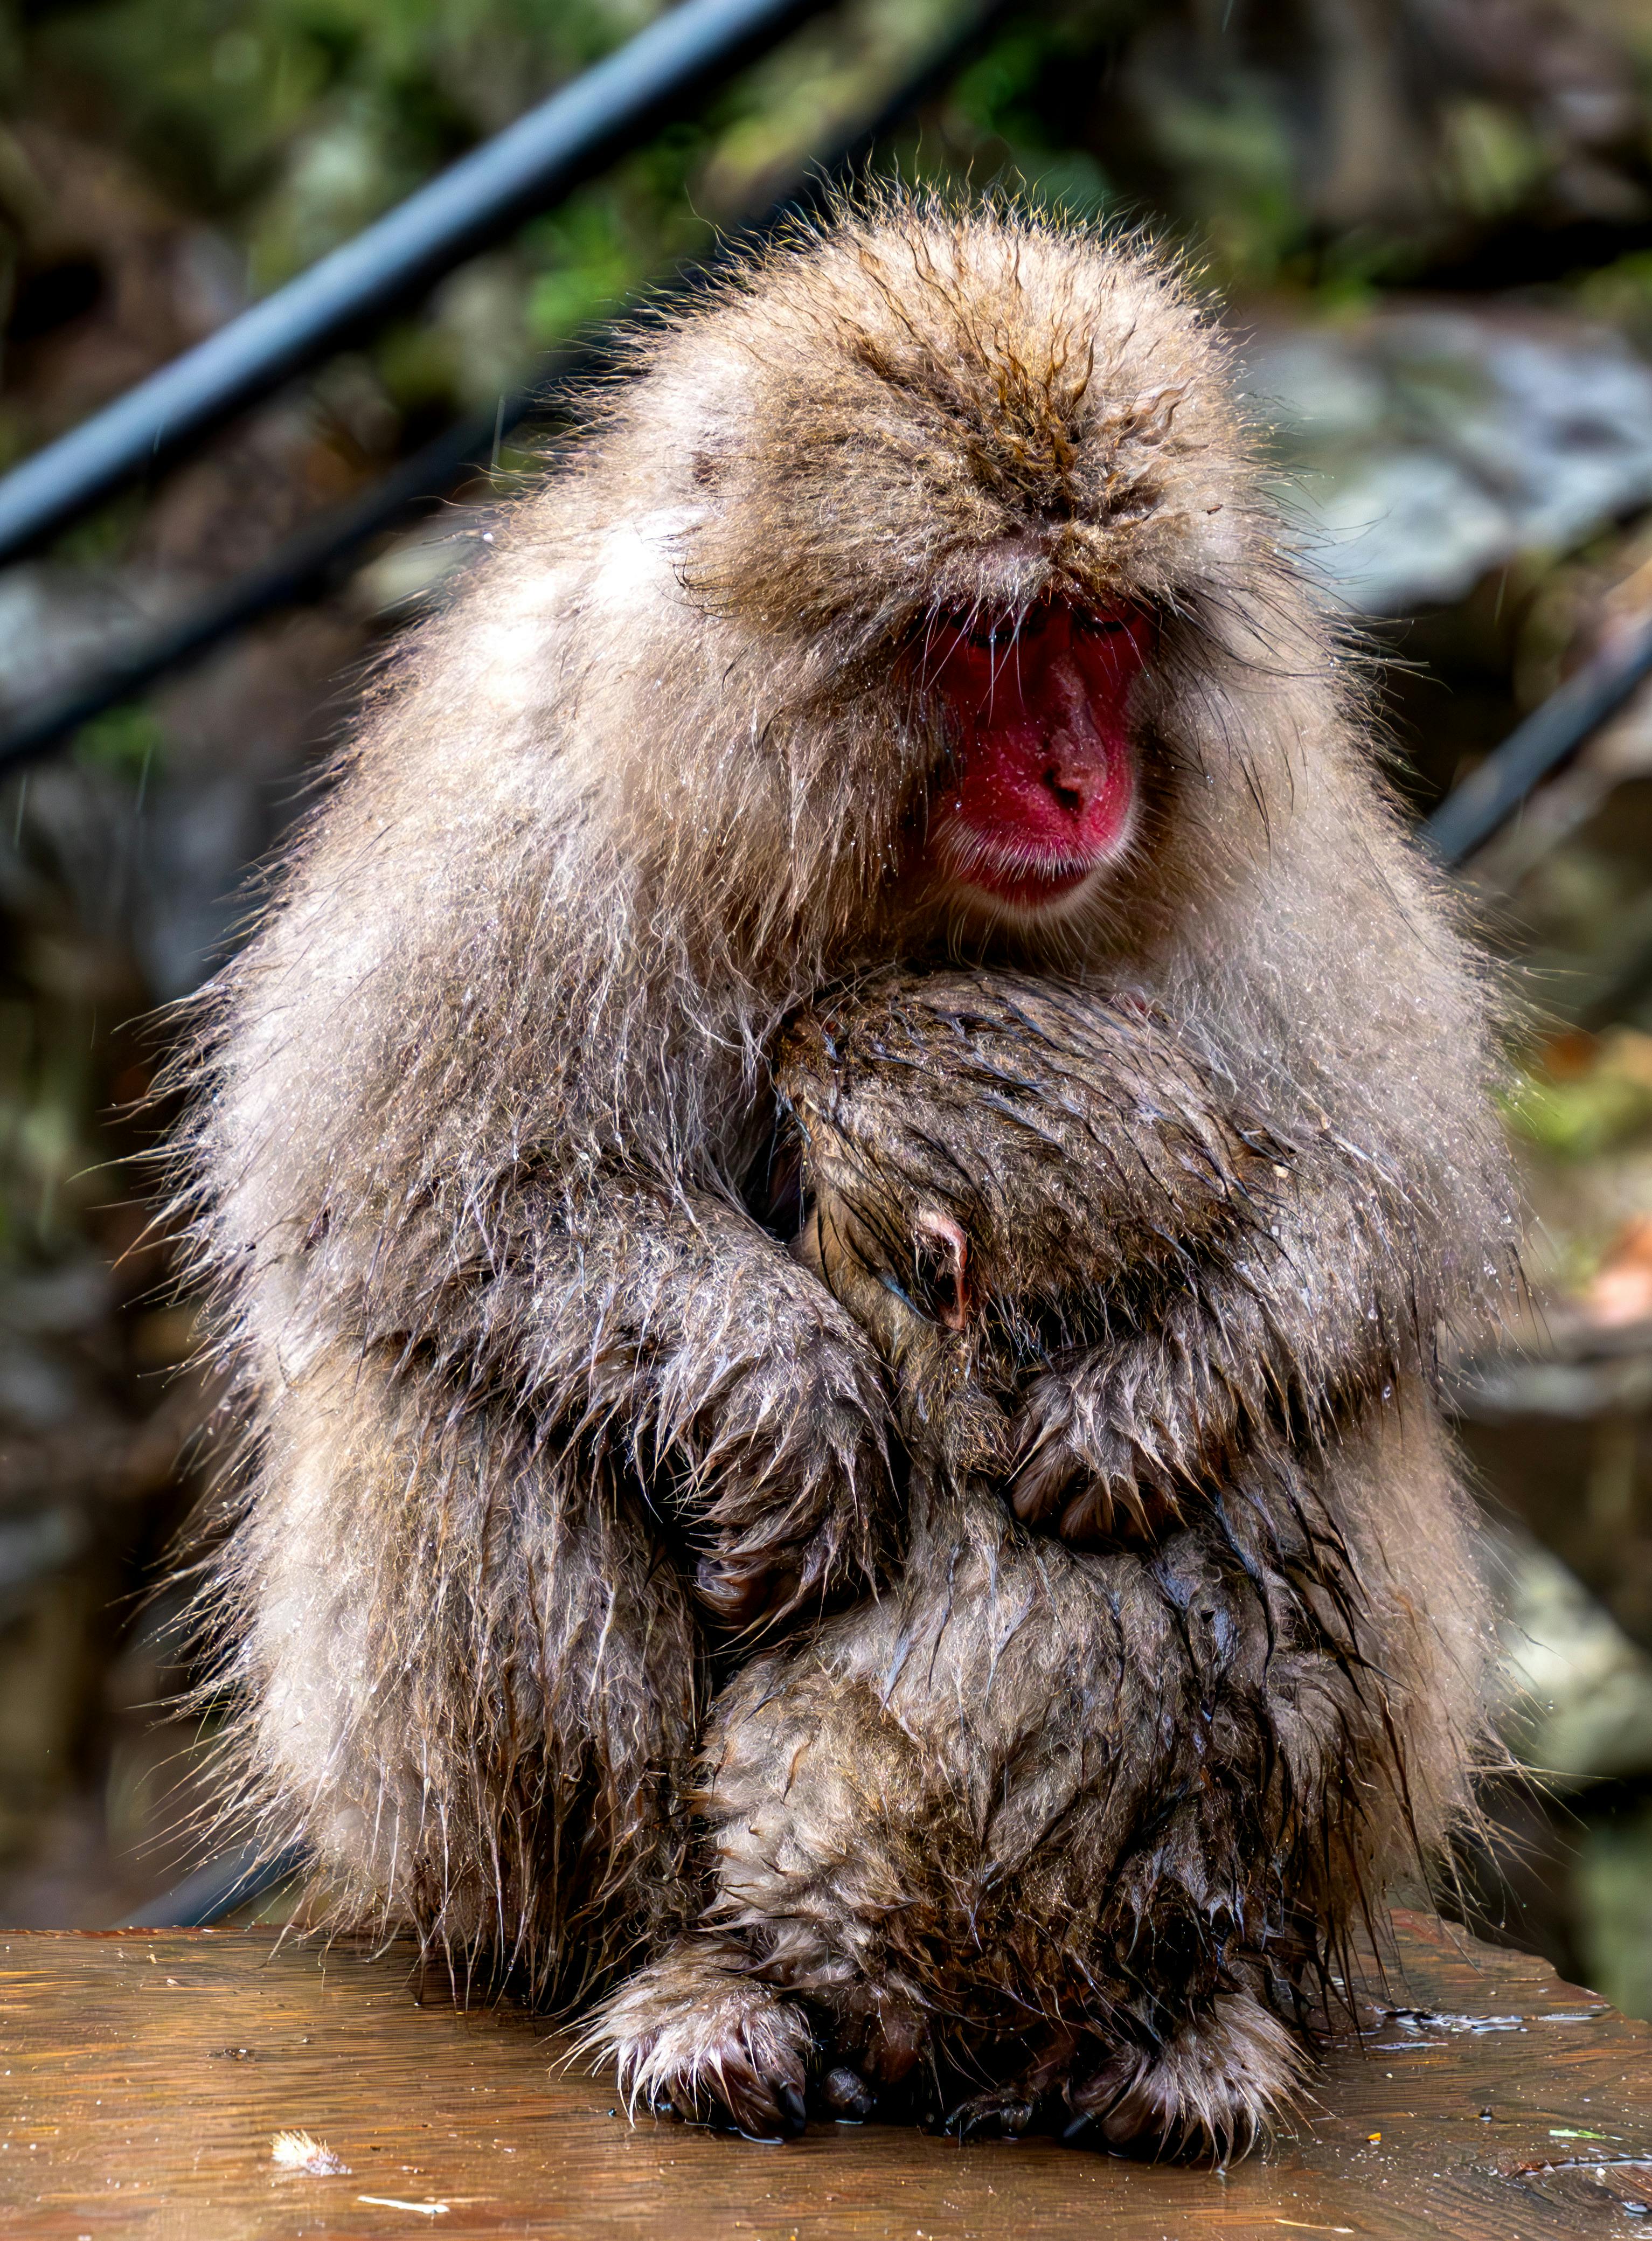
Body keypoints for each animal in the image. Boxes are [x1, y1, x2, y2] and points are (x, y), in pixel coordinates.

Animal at [168, 189, 1517, 2021]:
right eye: (987, 636)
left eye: (1102, 626)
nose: (1080, 782)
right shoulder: (529, 802)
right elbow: (392, 1187)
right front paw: (784, 1389)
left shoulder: (1269, 816)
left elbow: (1386, 1193)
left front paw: (1150, 1396)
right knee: (445, 1403)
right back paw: (681, 1973)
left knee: (1328, 1421)